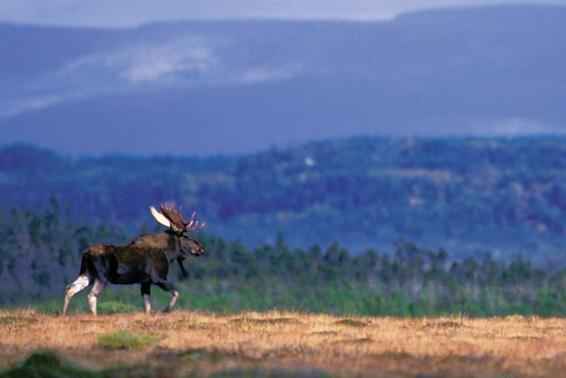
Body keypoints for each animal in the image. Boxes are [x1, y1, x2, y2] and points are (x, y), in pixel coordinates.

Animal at [61, 204, 206, 316]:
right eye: (185, 236)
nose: (201, 248)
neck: (168, 254)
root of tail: (86, 254)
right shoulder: (158, 278)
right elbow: (176, 293)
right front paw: (165, 310)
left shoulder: (145, 282)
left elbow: (148, 307)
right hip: (102, 277)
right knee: (91, 295)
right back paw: (95, 316)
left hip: (87, 274)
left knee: (70, 288)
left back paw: (64, 314)